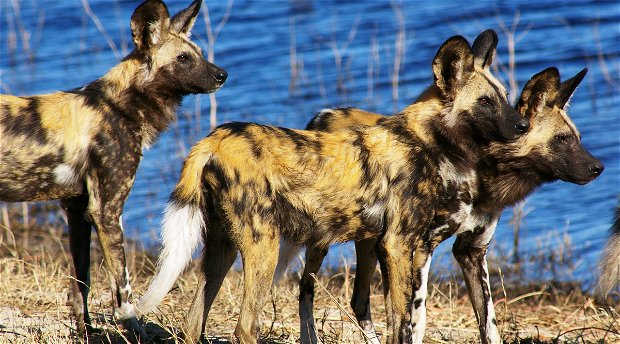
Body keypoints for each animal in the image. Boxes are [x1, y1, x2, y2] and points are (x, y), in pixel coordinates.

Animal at [0, 0, 228, 338]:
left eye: (199, 52)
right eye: (183, 58)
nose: (222, 74)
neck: (120, 106)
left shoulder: (76, 210)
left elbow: (80, 283)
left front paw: (86, 333)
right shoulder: (106, 211)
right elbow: (123, 290)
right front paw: (135, 333)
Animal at [130, 33, 528, 344]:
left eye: (505, 95)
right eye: (486, 102)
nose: (523, 125)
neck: (428, 141)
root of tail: (213, 139)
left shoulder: (388, 246)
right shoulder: (398, 245)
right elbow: (402, 325)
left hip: (221, 248)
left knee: (193, 322)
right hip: (263, 248)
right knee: (245, 328)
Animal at [280, 66, 604, 342]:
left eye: (577, 137)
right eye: (561, 139)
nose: (598, 167)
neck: (481, 172)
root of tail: (324, 115)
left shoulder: (471, 252)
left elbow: (489, 324)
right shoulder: (420, 247)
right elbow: (416, 319)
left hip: (369, 242)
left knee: (359, 302)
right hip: (326, 239)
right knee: (306, 289)